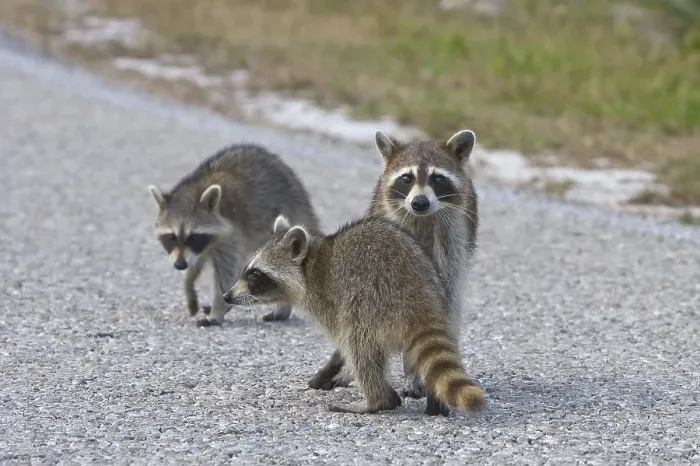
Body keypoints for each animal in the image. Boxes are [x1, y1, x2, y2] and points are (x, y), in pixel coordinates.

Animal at [147, 143, 320, 327]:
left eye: (193, 236)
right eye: (171, 237)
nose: (179, 265)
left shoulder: (232, 233)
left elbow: (227, 273)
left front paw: (217, 311)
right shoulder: (201, 247)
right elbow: (195, 263)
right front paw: (189, 287)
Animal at [223, 214, 485, 416]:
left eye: (254, 275)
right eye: (247, 270)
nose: (226, 296)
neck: (309, 264)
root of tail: (419, 295)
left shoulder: (328, 297)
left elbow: (344, 342)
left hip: (371, 300)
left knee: (358, 343)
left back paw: (376, 399)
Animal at [308, 129, 479, 399]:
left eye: (437, 179)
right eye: (406, 178)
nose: (419, 202)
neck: (423, 218)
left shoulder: (454, 238)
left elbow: (443, 304)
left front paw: (415, 372)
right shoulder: (390, 233)